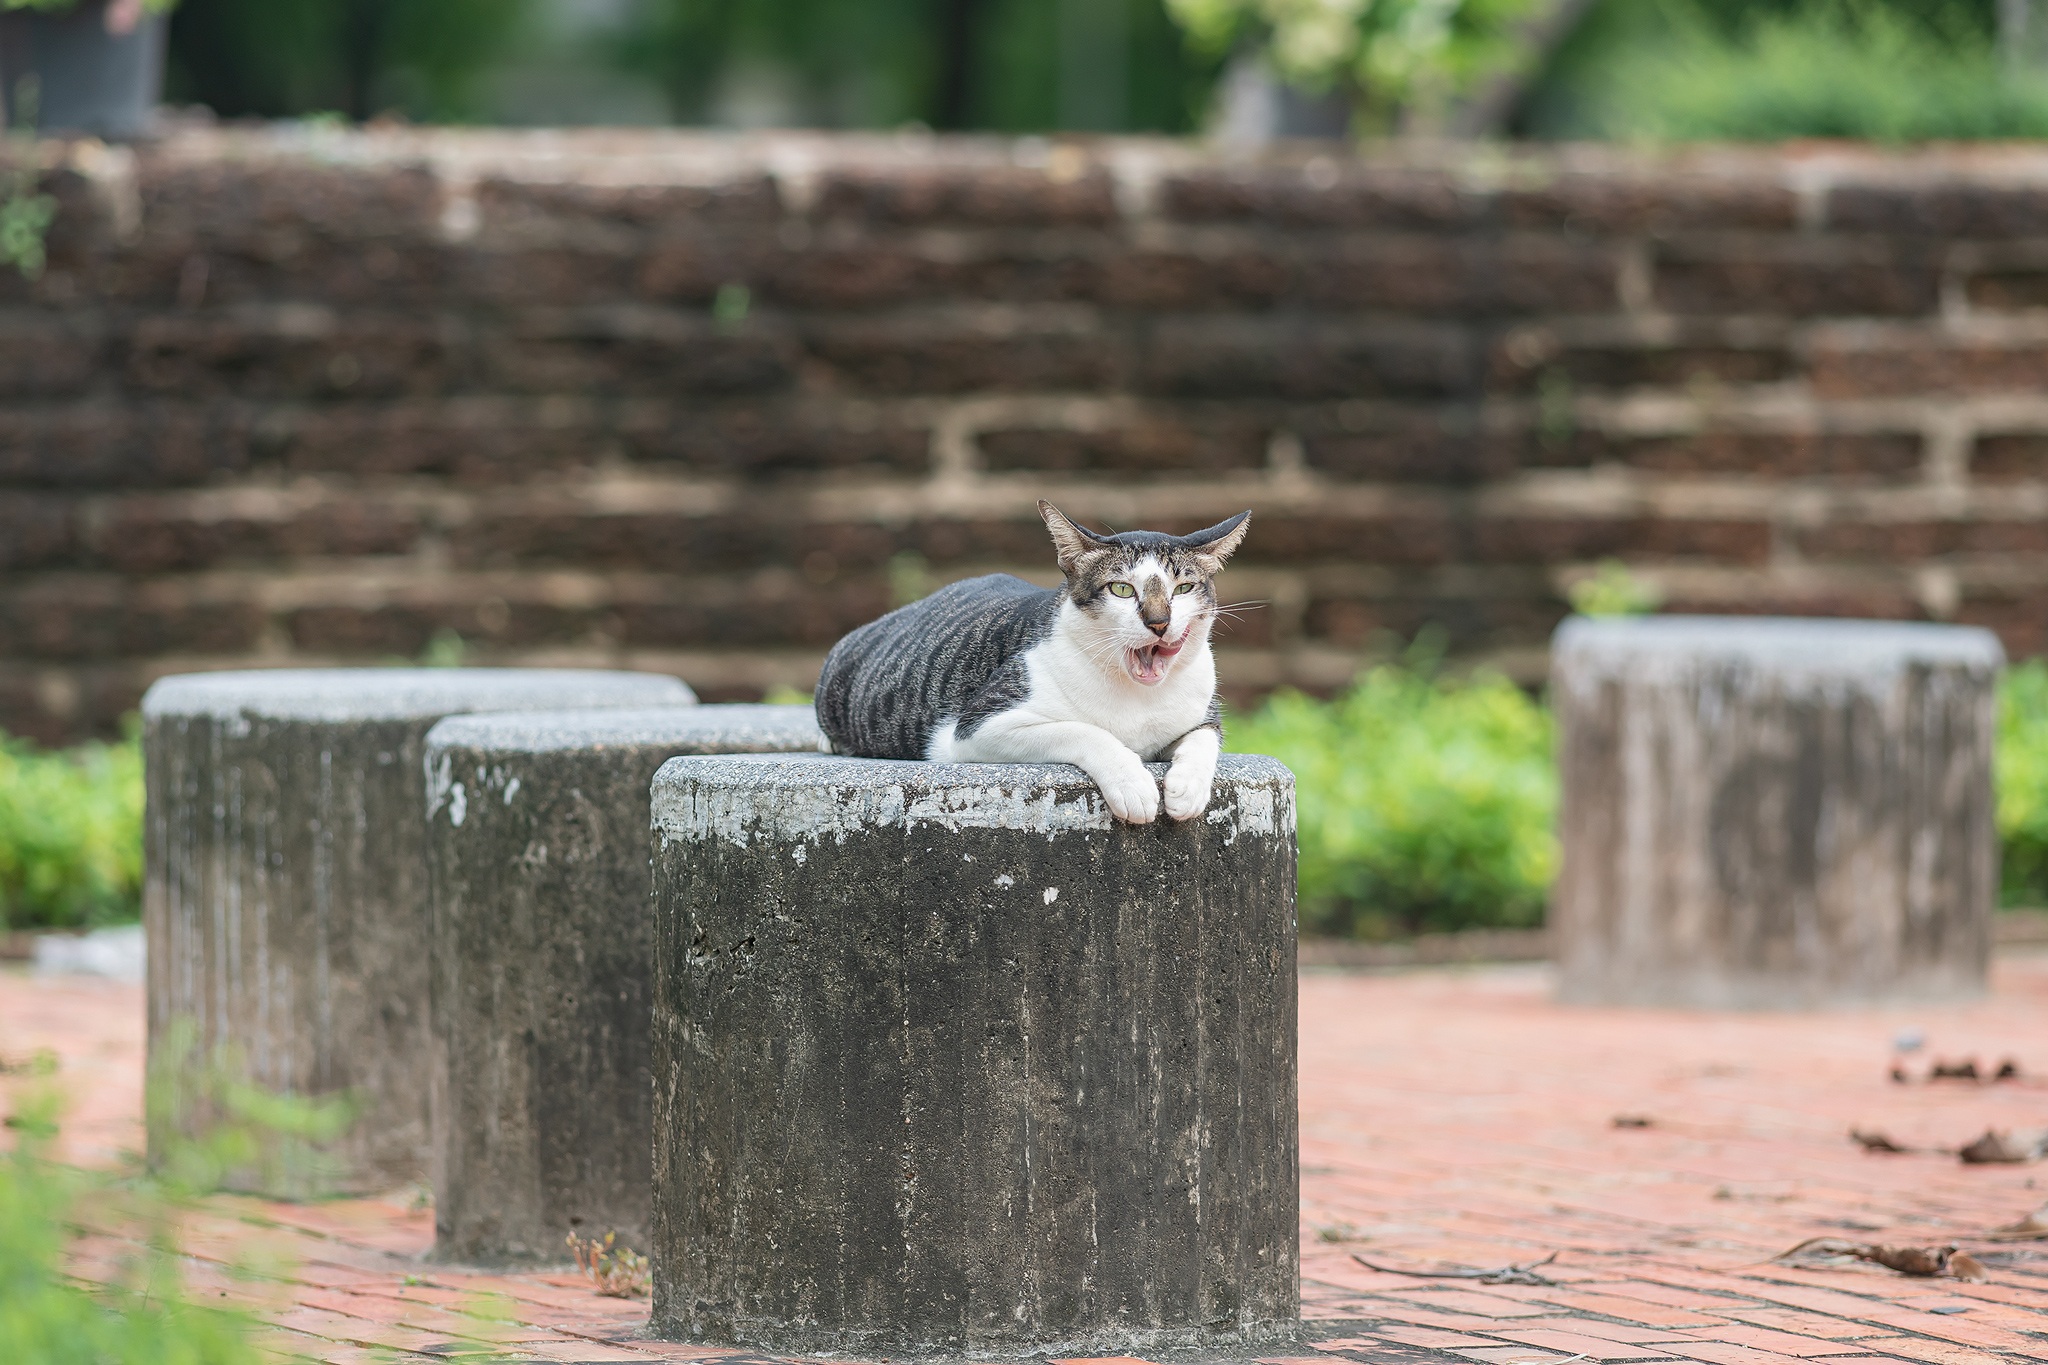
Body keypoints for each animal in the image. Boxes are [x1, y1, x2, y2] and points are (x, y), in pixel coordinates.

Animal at [814, 501, 1251, 824]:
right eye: (1122, 589)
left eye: (1184, 588)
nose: (1159, 622)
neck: (1137, 698)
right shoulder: (975, 730)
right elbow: (1083, 730)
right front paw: (1133, 784)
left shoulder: (1201, 712)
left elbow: (1205, 738)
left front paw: (1187, 789)